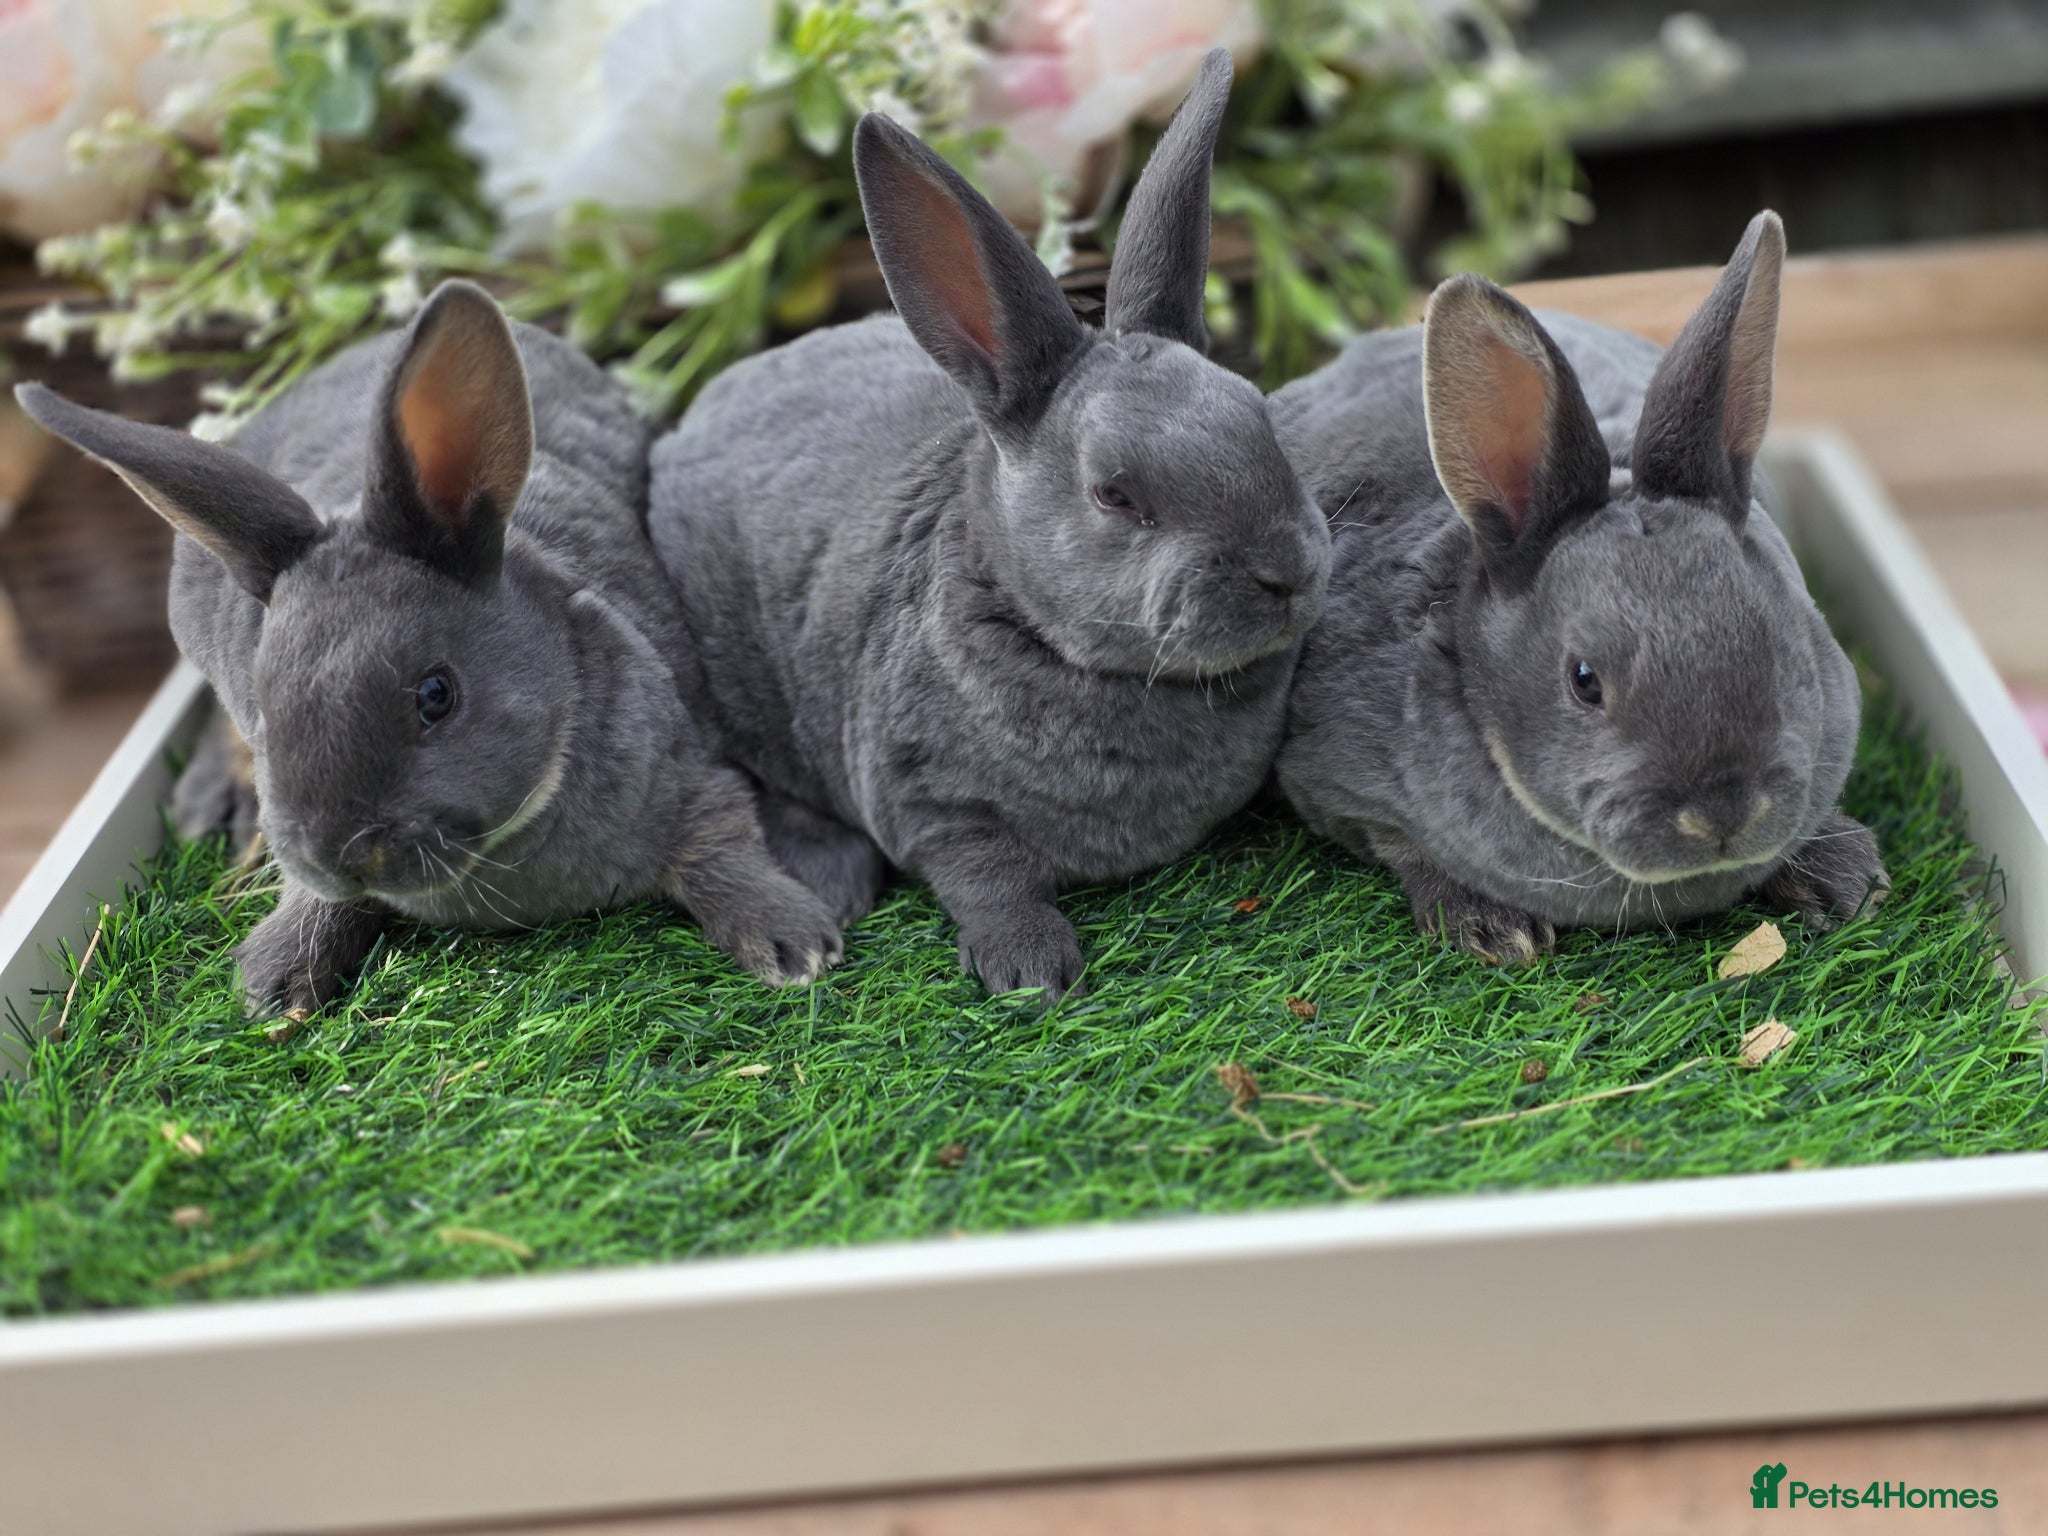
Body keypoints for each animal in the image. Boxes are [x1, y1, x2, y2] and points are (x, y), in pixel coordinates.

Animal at [16, 280, 843, 1015]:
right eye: (268, 709)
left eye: (436, 697)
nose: (341, 856)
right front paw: (273, 985)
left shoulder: (690, 773)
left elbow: (724, 846)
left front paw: (795, 944)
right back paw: (208, 808)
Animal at [648, 50, 1332, 1000]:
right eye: (1114, 495)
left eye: (1261, 419)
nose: (1286, 573)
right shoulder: (931, 801)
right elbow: (987, 875)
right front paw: (1031, 971)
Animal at [1273, 211, 1888, 963]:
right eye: (1584, 681)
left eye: (1780, 652)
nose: (1722, 815)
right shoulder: (1333, 779)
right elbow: (1397, 842)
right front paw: (1491, 928)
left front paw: (1847, 878)